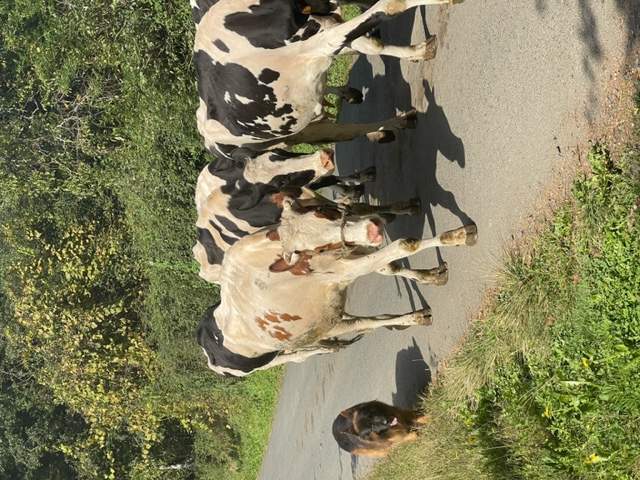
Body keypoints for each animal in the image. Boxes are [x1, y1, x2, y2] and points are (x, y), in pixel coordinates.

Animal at [192, 0, 462, 160]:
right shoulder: (322, 42)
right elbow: (388, 7)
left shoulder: (326, 27)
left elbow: (372, 44)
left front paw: (418, 52)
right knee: (350, 131)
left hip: (300, 131)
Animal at [192, 147, 421, 283]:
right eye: (281, 181)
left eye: (277, 151)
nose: (323, 158)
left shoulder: (315, 203)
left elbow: (357, 208)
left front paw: (400, 208)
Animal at [197, 198, 477, 376]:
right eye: (316, 249)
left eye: (321, 209)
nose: (373, 228)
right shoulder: (346, 269)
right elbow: (406, 244)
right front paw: (459, 236)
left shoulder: (354, 253)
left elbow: (392, 267)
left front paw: (430, 274)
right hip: (301, 341)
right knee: (350, 329)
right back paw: (412, 318)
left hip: (326, 320)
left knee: (363, 322)